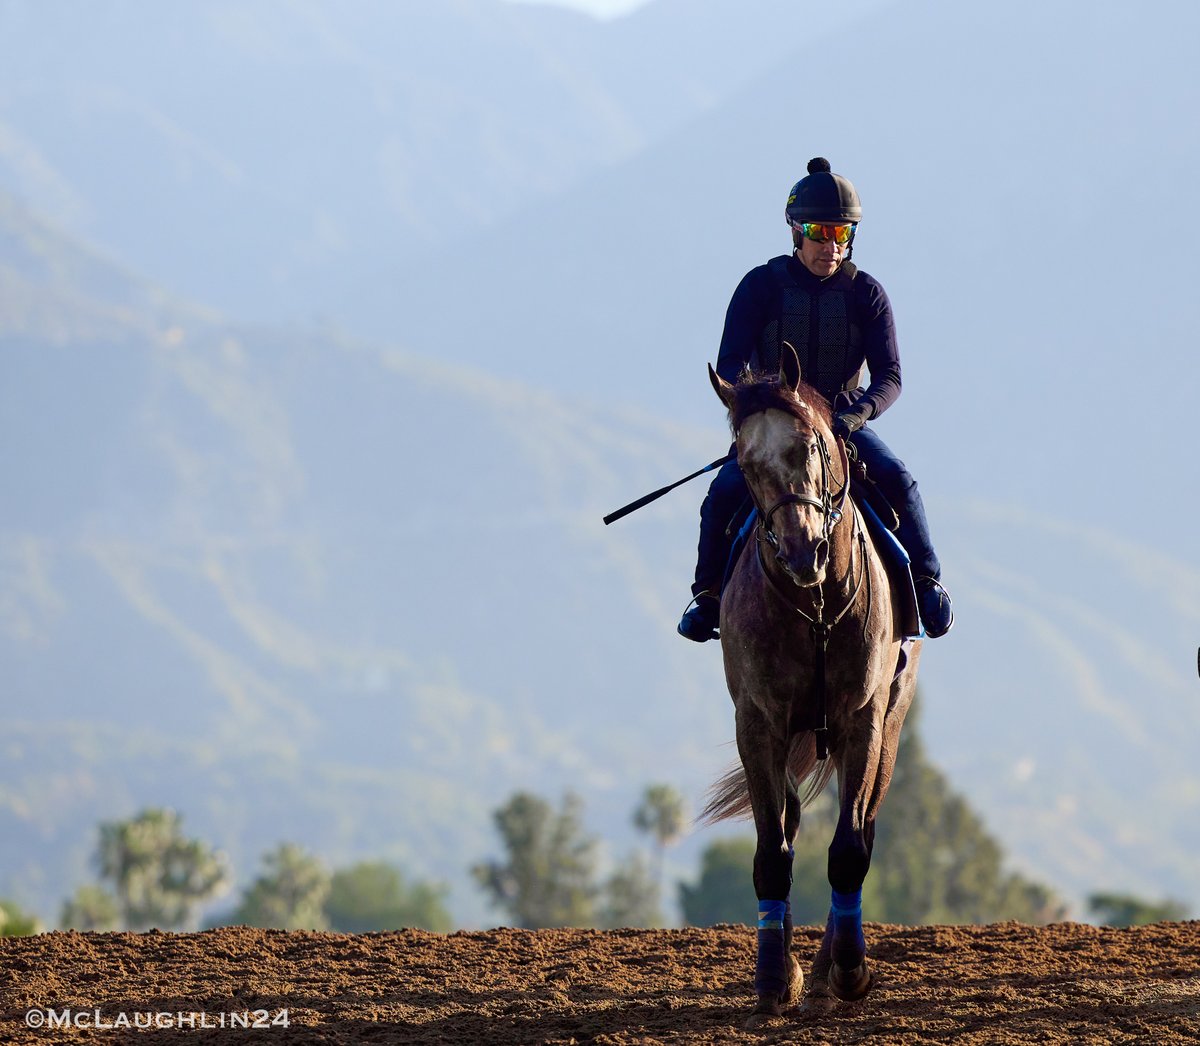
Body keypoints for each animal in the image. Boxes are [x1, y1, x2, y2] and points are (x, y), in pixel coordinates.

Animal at [700, 347, 921, 1026]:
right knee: (792, 824)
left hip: (892, 726)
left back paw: (828, 966)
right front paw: (774, 979)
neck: (814, 606)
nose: (804, 552)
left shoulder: (863, 719)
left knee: (864, 830)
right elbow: (773, 852)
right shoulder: (758, 721)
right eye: (744, 463)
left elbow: (848, 848)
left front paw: (847, 972)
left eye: (809, 446)